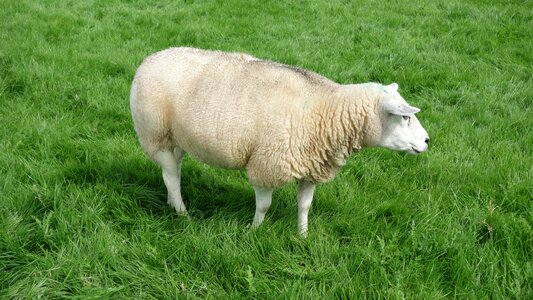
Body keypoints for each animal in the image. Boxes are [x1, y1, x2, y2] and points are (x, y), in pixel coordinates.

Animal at [130, 47, 428, 236]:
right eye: (404, 117)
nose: (427, 141)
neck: (325, 109)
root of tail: (149, 59)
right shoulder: (266, 165)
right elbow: (263, 206)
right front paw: (253, 232)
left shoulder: (311, 165)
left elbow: (305, 206)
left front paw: (303, 235)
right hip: (154, 134)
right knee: (170, 176)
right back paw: (182, 213)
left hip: (177, 138)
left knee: (175, 170)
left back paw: (173, 203)